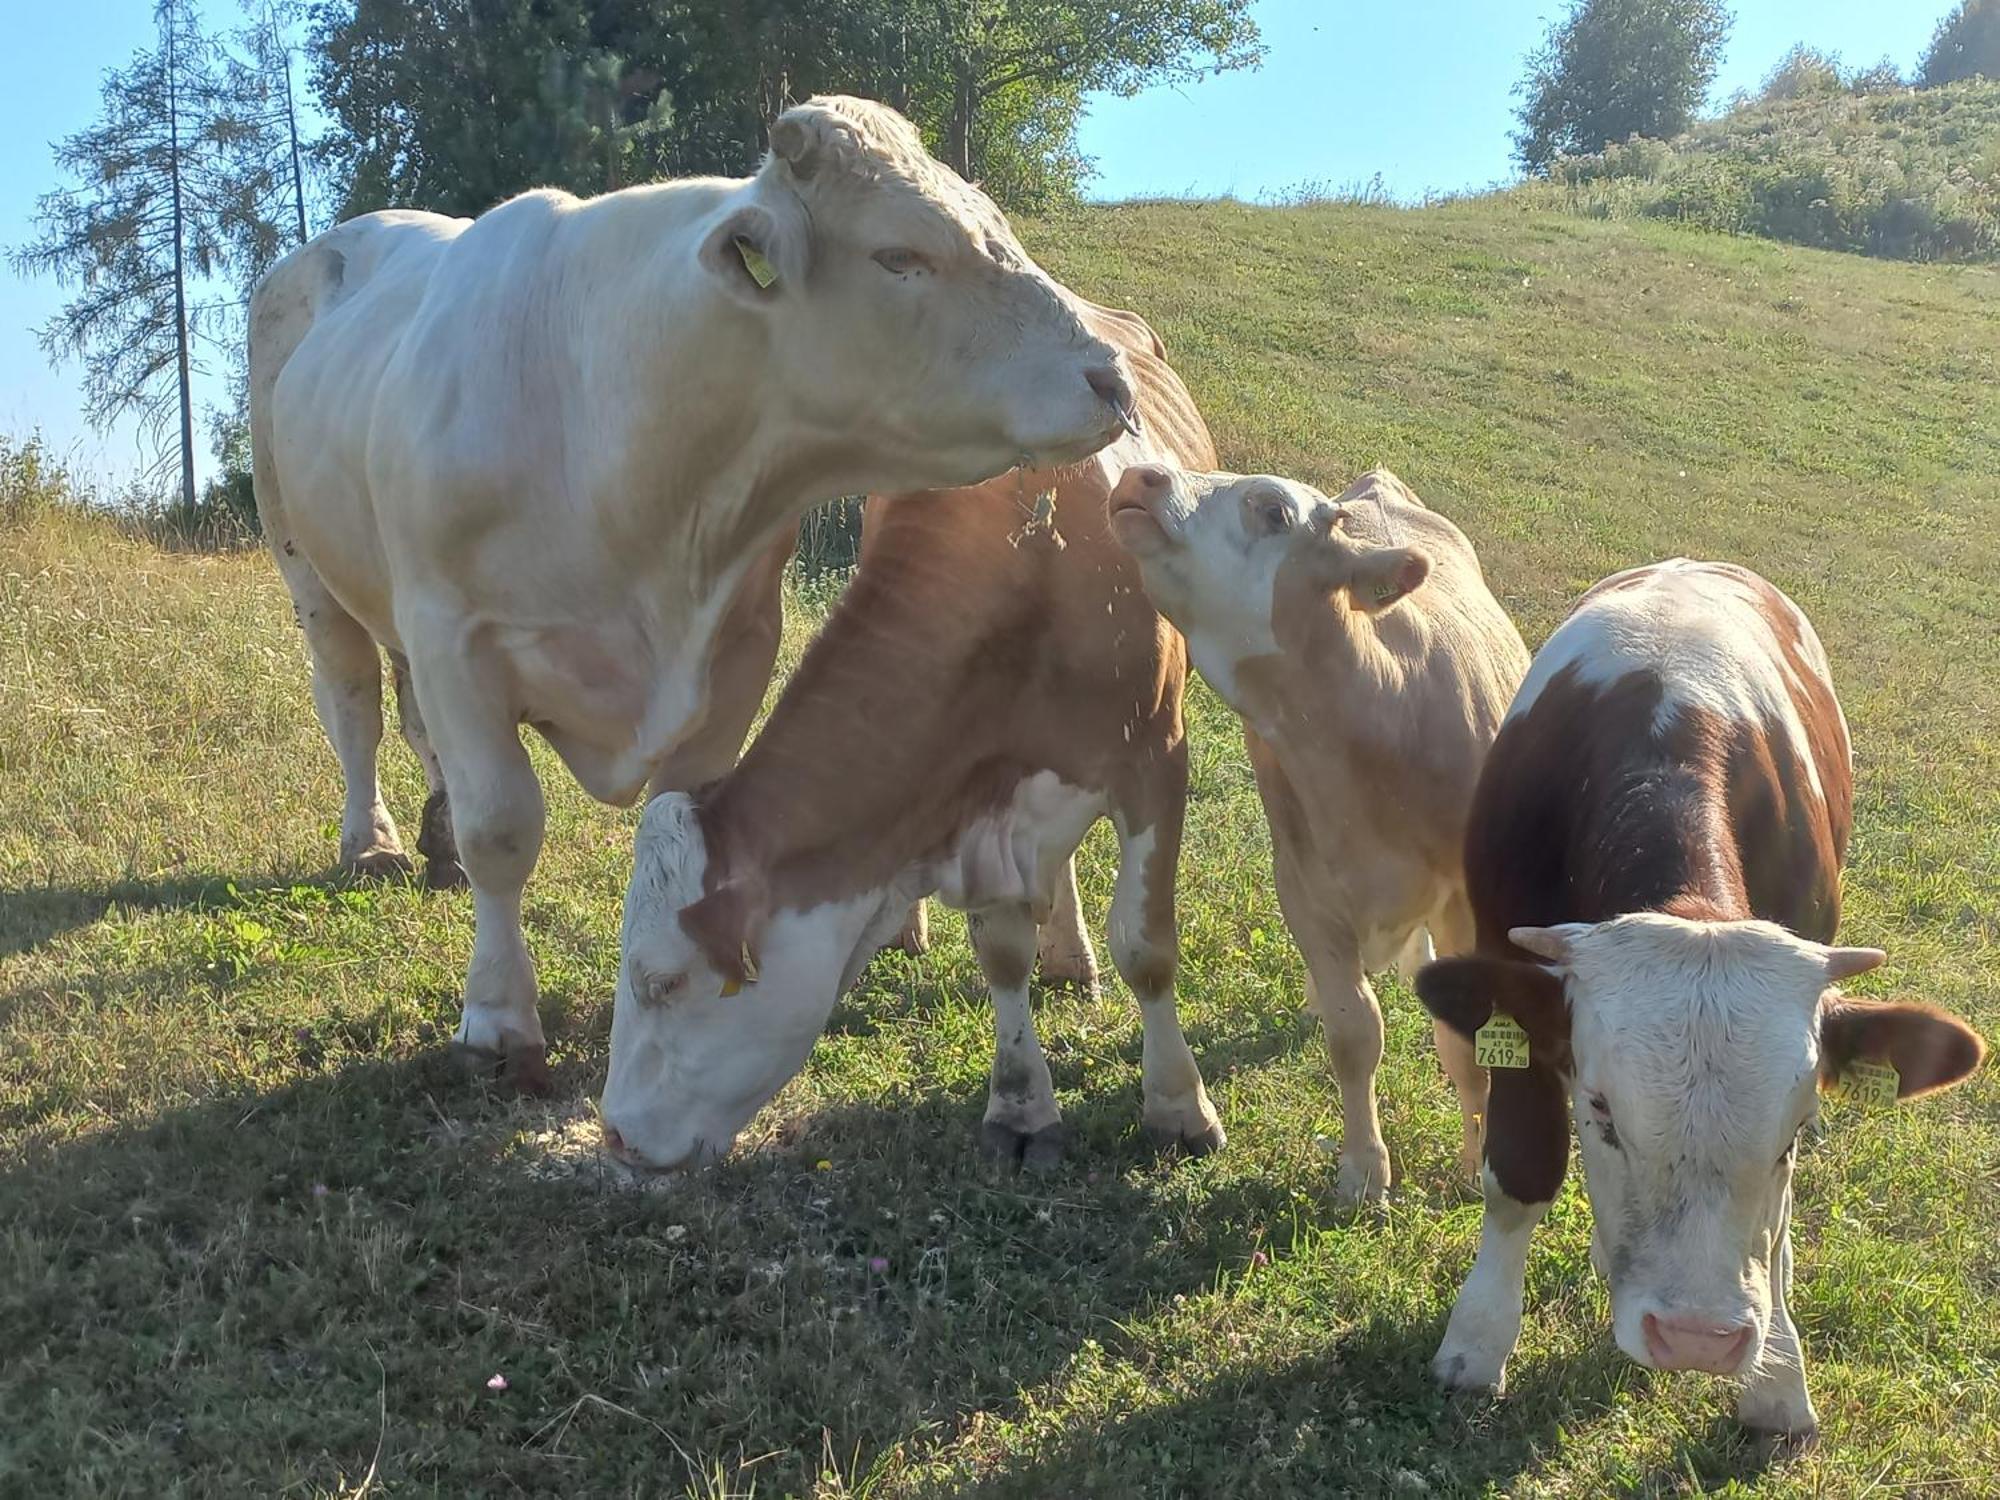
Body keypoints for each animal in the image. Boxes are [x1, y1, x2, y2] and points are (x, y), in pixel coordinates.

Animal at [592, 306, 1216, 1176]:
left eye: (664, 982)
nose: (615, 1134)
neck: (1032, 569)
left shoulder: (1157, 758)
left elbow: (1148, 946)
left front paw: (1178, 1107)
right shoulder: (974, 786)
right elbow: (1001, 949)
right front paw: (1021, 1107)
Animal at [1112, 464, 1528, 1208]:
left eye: (1274, 510)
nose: (1143, 472)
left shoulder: (1468, 905)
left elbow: (1466, 1045)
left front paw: (1477, 1161)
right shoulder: (1304, 886)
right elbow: (1353, 1031)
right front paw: (1364, 1169)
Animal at [1408, 560, 1984, 1448]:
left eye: (1796, 1132)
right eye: (1602, 1112)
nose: (1697, 1341)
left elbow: (1773, 1233)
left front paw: (1777, 1379)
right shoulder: (1514, 1001)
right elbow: (1520, 1177)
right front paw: (1476, 1343)